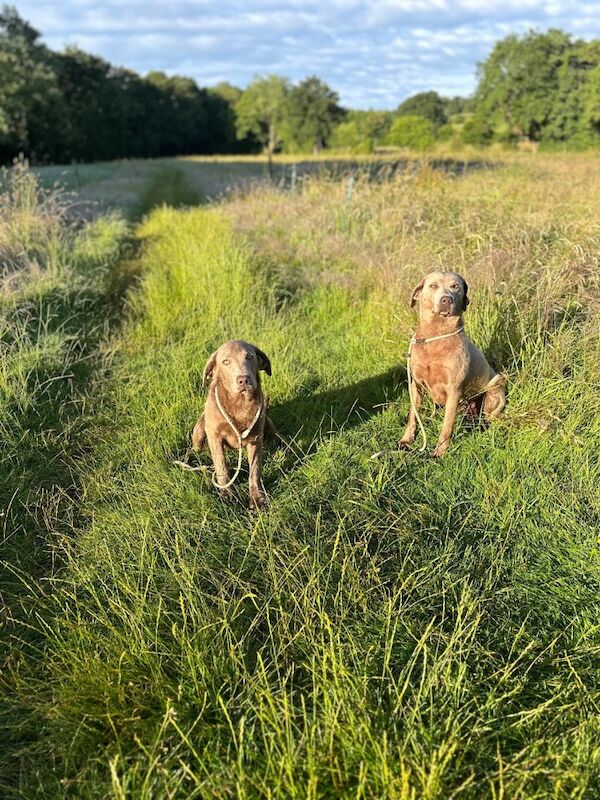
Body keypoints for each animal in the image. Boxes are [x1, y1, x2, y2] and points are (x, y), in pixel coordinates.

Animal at [192, 340, 274, 510]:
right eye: (225, 361)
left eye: (249, 356)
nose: (243, 380)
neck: (239, 404)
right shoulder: (214, 436)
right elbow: (221, 466)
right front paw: (228, 494)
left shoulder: (256, 438)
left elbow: (255, 469)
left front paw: (257, 499)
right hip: (200, 430)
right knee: (194, 448)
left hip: (267, 423)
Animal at [398, 270, 506, 454]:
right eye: (433, 286)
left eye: (455, 286)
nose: (446, 299)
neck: (436, 335)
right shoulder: (416, 384)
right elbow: (413, 416)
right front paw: (406, 440)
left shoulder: (454, 389)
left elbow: (447, 426)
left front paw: (440, 452)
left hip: (495, 390)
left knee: (487, 417)